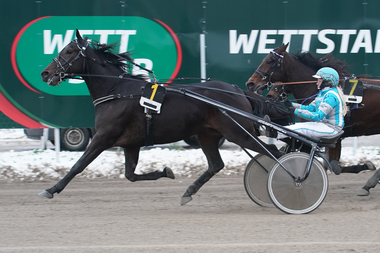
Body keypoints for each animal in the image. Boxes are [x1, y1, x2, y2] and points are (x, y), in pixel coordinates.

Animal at [39, 29, 290, 206]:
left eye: (69, 51)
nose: (45, 72)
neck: (116, 90)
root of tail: (238, 90)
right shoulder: (131, 143)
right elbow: (130, 175)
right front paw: (166, 172)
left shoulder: (104, 136)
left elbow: (78, 165)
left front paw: (50, 190)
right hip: (207, 135)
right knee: (216, 164)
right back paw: (188, 192)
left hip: (238, 133)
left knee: (274, 153)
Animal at [246, 43, 378, 176]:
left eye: (269, 61)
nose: (250, 83)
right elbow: (329, 165)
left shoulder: (335, 138)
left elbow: (334, 167)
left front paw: (367, 165)